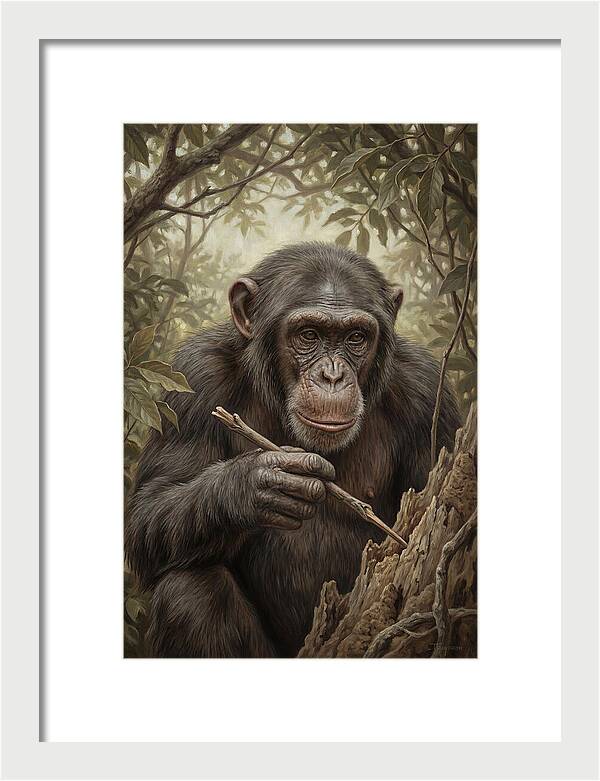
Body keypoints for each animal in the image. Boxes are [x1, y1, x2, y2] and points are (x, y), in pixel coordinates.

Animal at [125, 242, 460, 657]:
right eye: (308, 334)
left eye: (355, 338)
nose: (332, 375)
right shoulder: (194, 377)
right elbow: (149, 511)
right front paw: (256, 484)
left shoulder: (429, 394)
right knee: (189, 591)